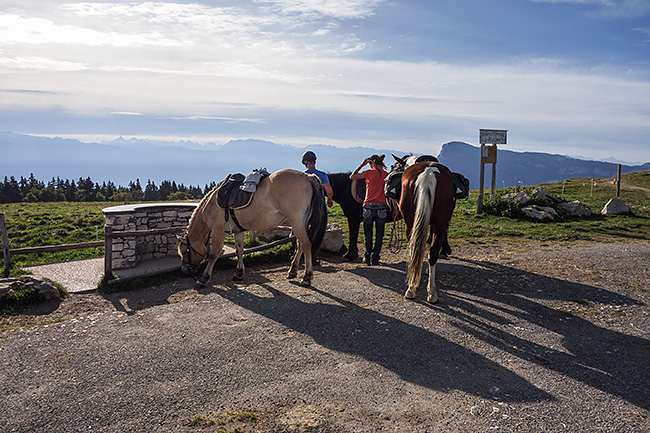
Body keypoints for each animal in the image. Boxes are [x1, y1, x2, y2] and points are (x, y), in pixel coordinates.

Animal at [177, 169, 326, 286]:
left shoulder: (218, 231)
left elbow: (214, 255)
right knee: (300, 244)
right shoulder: (237, 231)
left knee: (306, 244)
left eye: (184, 251)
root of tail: (308, 177)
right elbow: (239, 251)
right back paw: (293, 270)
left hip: (296, 221)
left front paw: (203, 278)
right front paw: (238, 273)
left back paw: (307, 277)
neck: (211, 204)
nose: (184, 270)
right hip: (301, 223)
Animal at [398, 160, 454, 302]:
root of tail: (428, 173)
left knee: (415, 249)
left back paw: (411, 289)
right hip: (440, 225)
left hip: (410, 224)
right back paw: (432, 293)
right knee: (433, 253)